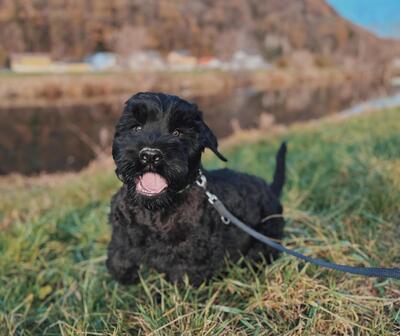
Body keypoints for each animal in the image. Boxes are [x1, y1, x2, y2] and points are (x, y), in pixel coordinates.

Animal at [107, 92, 284, 286]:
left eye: (177, 132)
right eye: (136, 128)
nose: (150, 155)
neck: (154, 212)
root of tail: (271, 190)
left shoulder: (191, 259)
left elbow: (181, 281)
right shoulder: (121, 231)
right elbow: (118, 256)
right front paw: (127, 274)